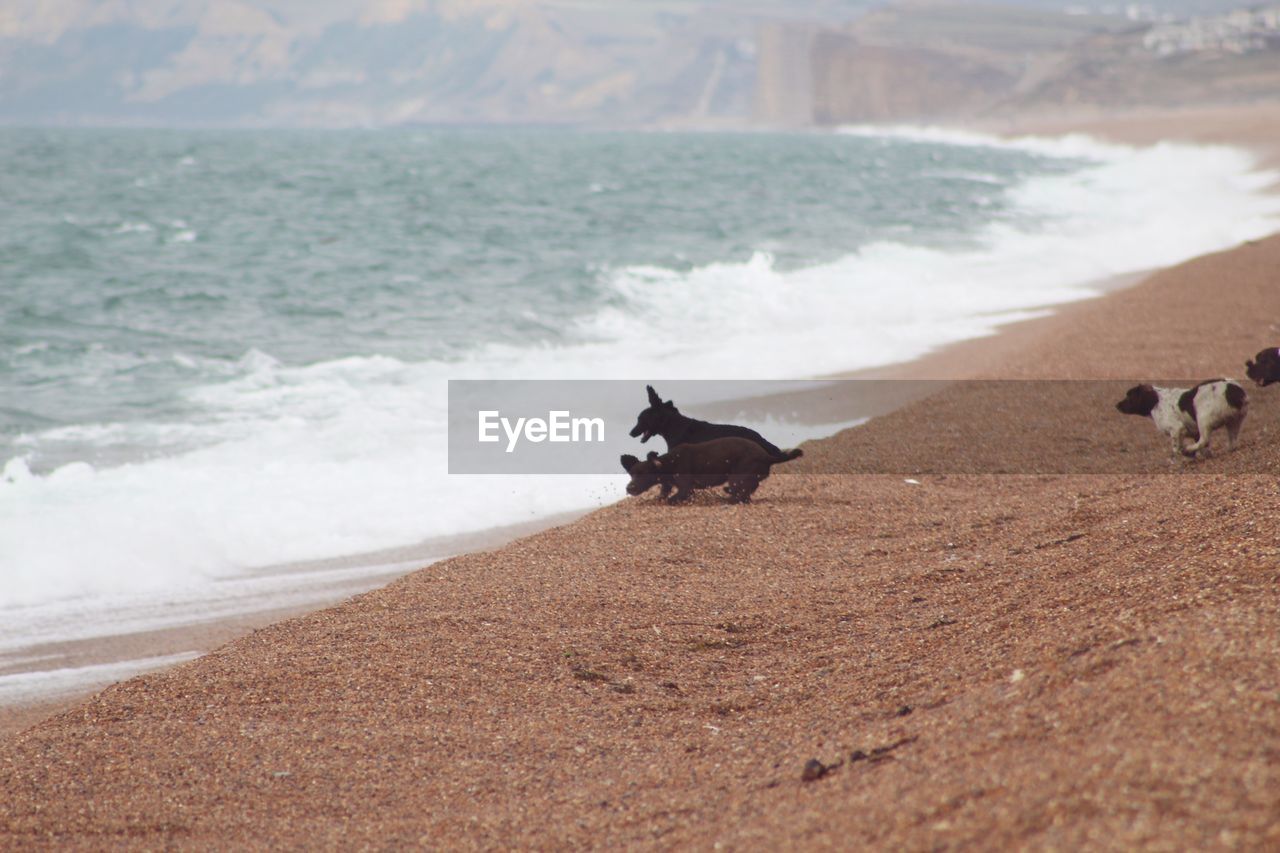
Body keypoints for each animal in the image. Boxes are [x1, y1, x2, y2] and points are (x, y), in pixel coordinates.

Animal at [616, 435, 798, 502]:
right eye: (631, 474)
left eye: (644, 474)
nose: (629, 488)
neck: (668, 463)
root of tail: (767, 456)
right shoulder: (668, 485)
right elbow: (663, 493)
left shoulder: (686, 488)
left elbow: (673, 498)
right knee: (748, 490)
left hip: (737, 475)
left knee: (741, 491)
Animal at [1116, 379, 1244, 458]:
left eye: (1129, 396)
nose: (1117, 405)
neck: (1157, 401)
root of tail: (1233, 390)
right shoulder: (1193, 432)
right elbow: (1203, 448)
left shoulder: (1176, 428)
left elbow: (1176, 448)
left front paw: (1185, 454)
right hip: (1234, 421)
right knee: (1232, 442)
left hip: (1203, 418)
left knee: (1204, 439)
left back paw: (1188, 450)